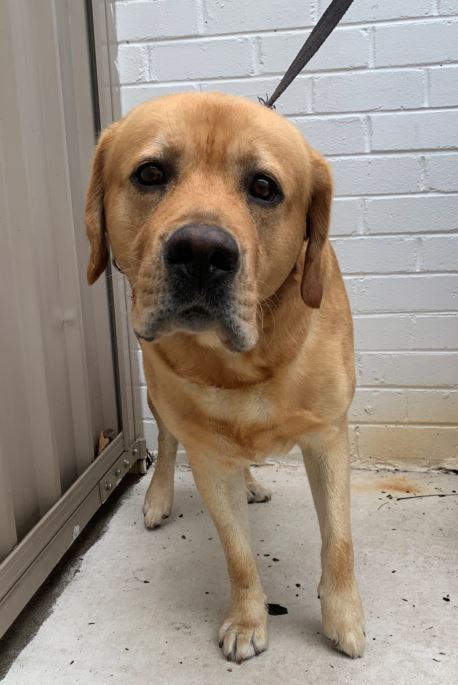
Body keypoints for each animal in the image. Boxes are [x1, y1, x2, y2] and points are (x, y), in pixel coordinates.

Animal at [85, 92, 365, 662]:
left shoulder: (328, 436)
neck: (244, 364)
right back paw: (160, 498)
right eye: (150, 173)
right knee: (167, 444)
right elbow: (238, 555)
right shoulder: (209, 457)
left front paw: (343, 616)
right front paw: (247, 619)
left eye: (264, 187)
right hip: (160, 398)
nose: (201, 252)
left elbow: (338, 540)